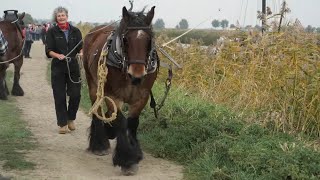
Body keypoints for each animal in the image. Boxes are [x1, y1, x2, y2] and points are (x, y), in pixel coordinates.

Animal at [82, 6, 158, 174]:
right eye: (125, 40)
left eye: (149, 40)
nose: (136, 75)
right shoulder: (112, 95)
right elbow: (122, 121)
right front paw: (127, 160)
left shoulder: (141, 97)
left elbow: (132, 123)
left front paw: (135, 153)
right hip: (93, 83)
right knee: (97, 108)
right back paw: (99, 145)